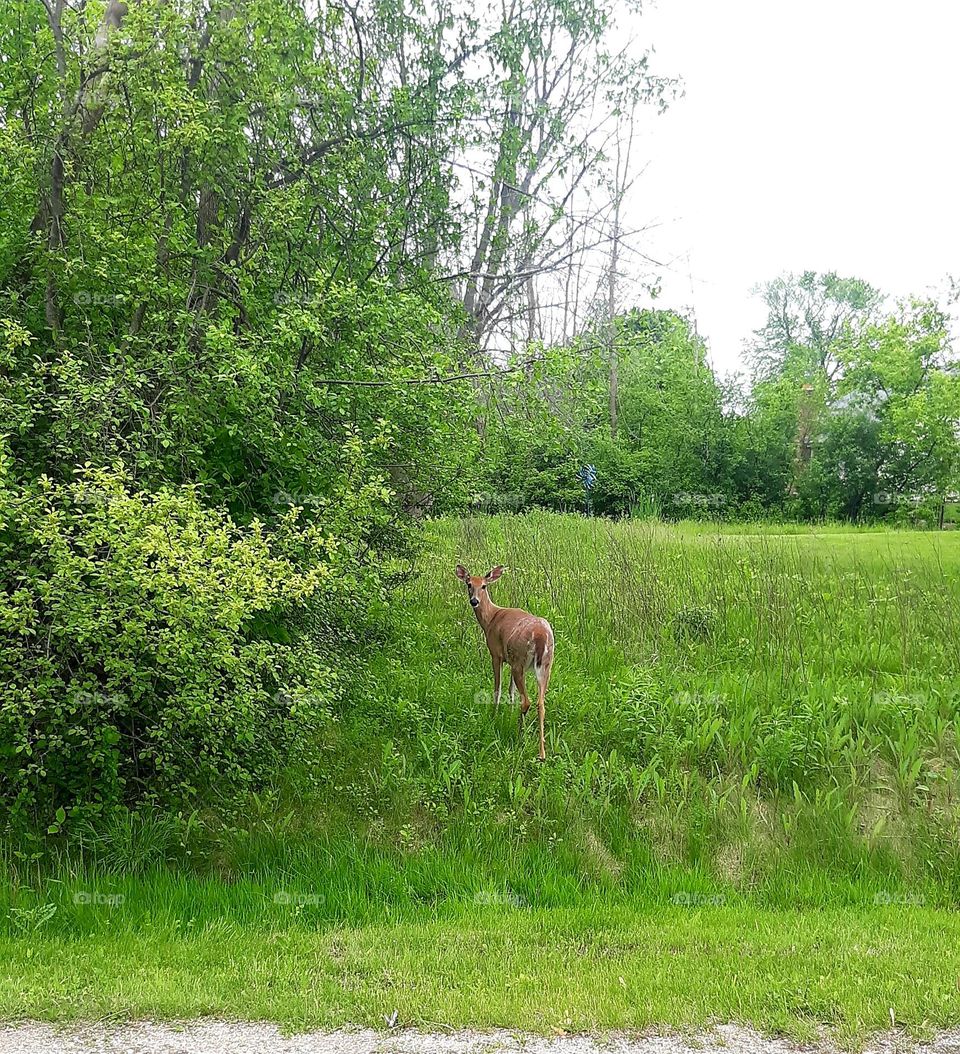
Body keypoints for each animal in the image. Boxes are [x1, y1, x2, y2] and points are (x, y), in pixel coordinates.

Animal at [455, 564, 554, 760]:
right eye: (469, 584)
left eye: (484, 586)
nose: (474, 601)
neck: (491, 619)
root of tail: (540, 636)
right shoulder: (510, 659)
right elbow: (511, 691)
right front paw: (508, 712)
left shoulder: (496, 654)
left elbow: (498, 689)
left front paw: (494, 716)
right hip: (544, 665)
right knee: (540, 704)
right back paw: (541, 753)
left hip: (520, 662)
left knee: (527, 702)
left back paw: (520, 736)